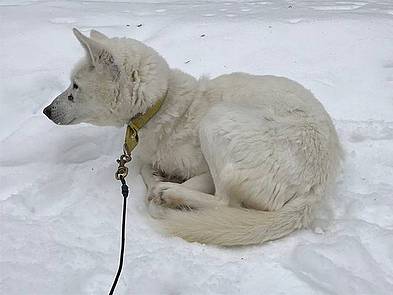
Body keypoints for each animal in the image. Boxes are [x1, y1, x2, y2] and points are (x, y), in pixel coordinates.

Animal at [44, 28, 342, 247]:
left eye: (75, 86)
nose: (46, 111)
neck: (163, 104)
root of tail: (317, 188)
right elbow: (145, 167)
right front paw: (158, 178)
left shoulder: (204, 169)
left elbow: (158, 181)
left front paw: (163, 190)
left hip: (216, 120)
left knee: (224, 202)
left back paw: (172, 195)